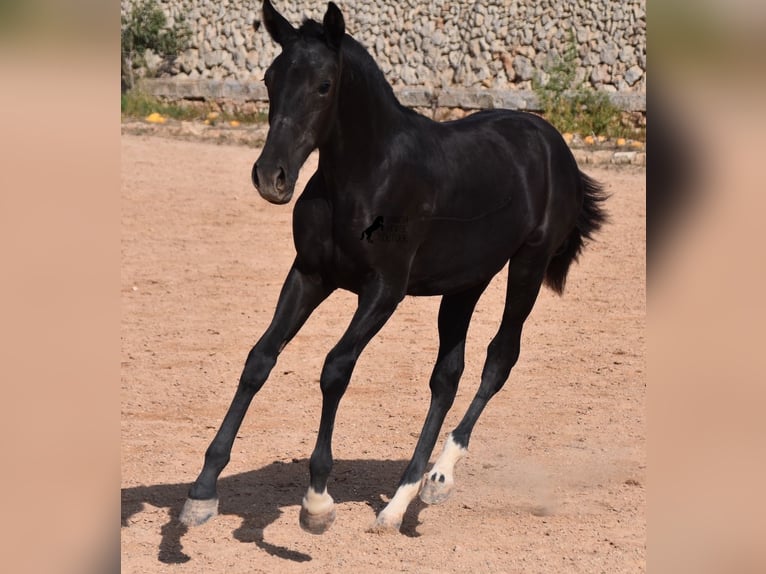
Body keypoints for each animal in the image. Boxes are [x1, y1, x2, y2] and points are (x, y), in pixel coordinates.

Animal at [180, 0, 608, 536]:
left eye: (324, 85)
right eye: (269, 78)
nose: (271, 177)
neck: (365, 177)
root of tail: (555, 142)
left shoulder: (384, 290)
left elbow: (335, 368)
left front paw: (317, 501)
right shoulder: (309, 275)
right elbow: (260, 359)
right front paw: (202, 493)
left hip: (527, 267)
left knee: (499, 358)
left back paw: (440, 477)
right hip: (465, 283)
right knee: (447, 375)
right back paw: (402, 500)